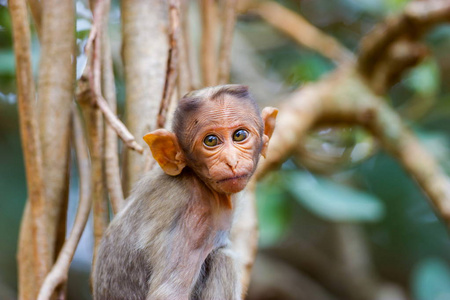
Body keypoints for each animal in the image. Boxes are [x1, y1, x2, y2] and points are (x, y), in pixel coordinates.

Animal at [92, 84, 278, 300]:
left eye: (239, 135)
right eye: (211, 140)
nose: (231, 161)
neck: (201, 183)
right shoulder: (193, 218)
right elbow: (168, 293)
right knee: (224, 258)